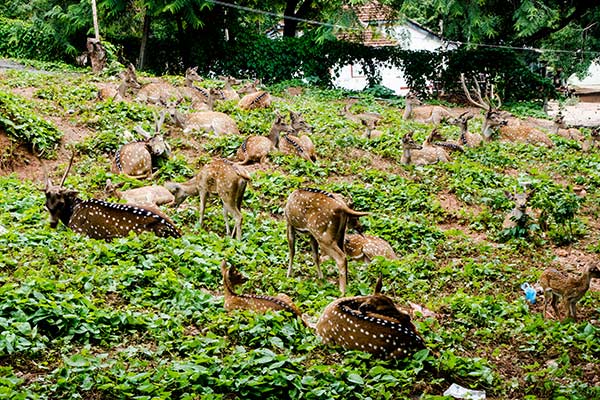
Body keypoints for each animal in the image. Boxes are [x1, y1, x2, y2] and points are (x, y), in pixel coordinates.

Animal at [44, 155, 180, 239]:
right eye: (46, 204)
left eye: (61, 202)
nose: (52, 223)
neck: (72, 212)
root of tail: (177, 232)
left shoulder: (78, 231)